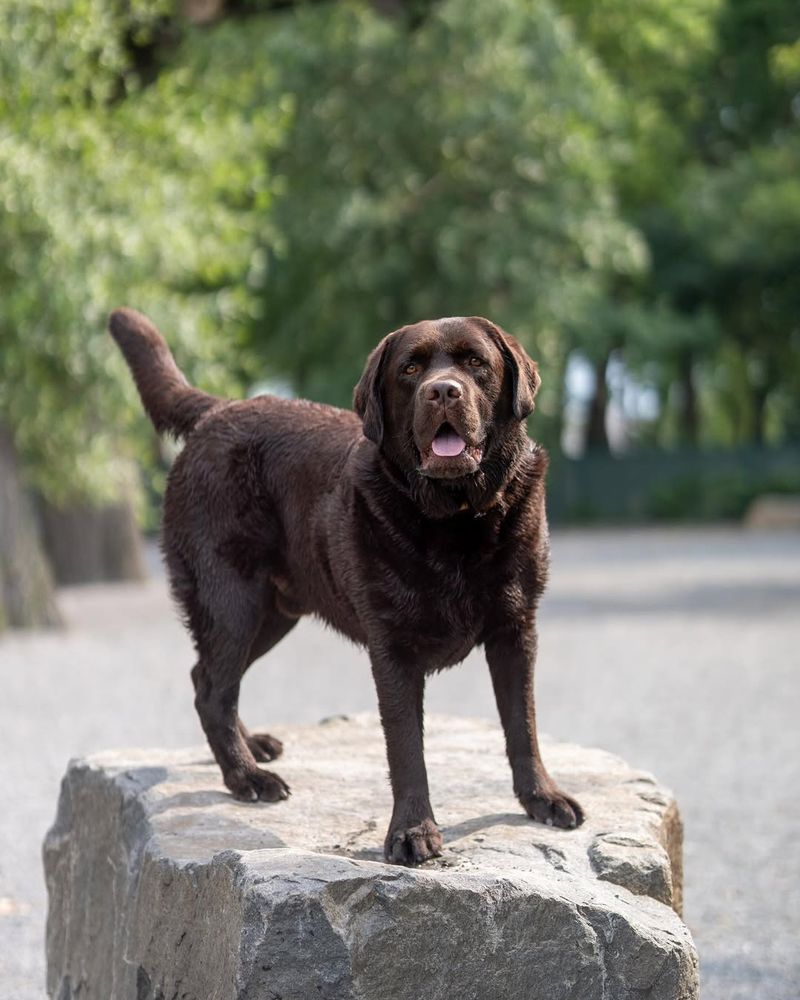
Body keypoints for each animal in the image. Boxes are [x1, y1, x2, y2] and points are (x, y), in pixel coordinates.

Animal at [109, 308, 584, 864]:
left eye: (475, 363)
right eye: (410, 369)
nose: (443, 391)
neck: (455, 518)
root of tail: (220, 409)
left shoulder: (516, 630)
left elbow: (522, 725)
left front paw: (541, 798)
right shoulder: (393, 647)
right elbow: (406, 747)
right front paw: (412, 831)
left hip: (272, 613)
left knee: (206, 677)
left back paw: (251, 748)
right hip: (230, 599)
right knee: (213, 689)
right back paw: (247, 777)